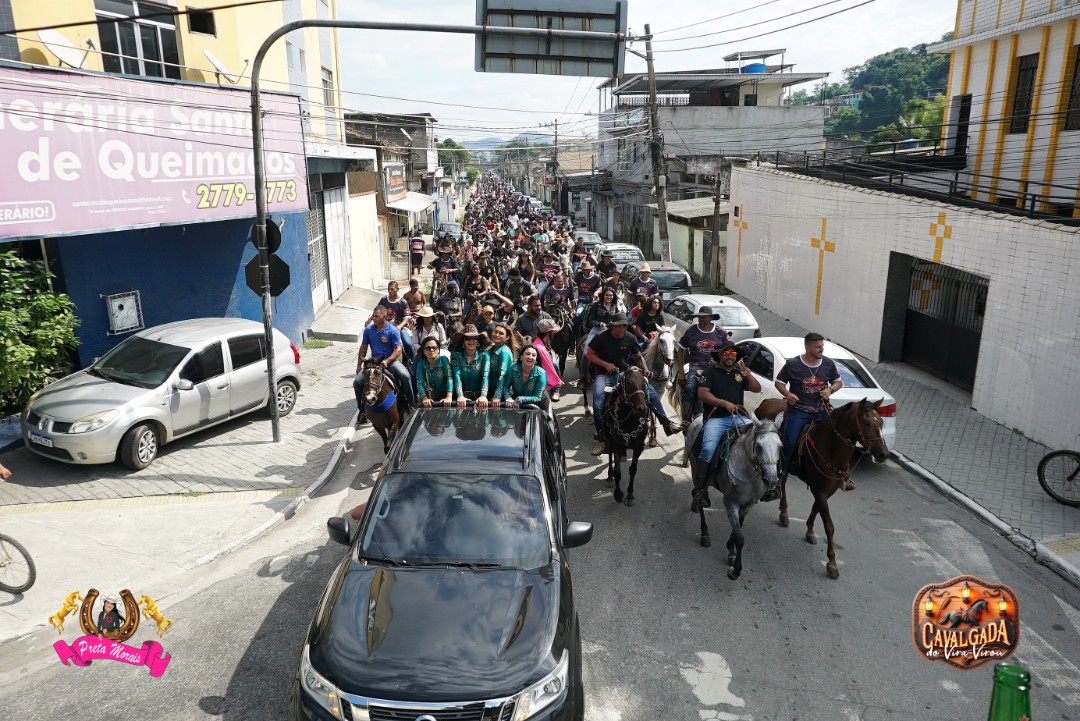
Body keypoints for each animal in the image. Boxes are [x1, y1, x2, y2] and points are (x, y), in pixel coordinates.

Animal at [602, 367, 652, 506]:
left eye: (644, 383)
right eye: (628, 383)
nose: (642, 409)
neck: (630, 421)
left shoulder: (639, 447)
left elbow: (633, 470)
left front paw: (630, 495)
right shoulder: (616, 444)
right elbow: (617, 471)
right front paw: (618, 494)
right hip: (609, 439)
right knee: (610, 456)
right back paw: (609, 477)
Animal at [685, 415, 783, 579]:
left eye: (780, 446)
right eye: (758, 446)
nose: (771, 480)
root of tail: (697, 418)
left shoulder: (748, 505)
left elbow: (738, 529)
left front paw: (730, 550)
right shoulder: (731, 503)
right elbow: (740, 537)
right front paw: (735, 570)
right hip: (696, 473)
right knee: (699, 495)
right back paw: (704, 532)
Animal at [756, 397, 889, 579]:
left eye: (881, 422)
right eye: (866, 422)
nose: (883, 454)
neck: (831, 448)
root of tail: (768, 400)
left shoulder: (826, 491)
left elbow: (815, 509)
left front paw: (810, 532)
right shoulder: (819, 491)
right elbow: (829, 526)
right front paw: (832, 563)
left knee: (782, 484)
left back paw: (783, 513)